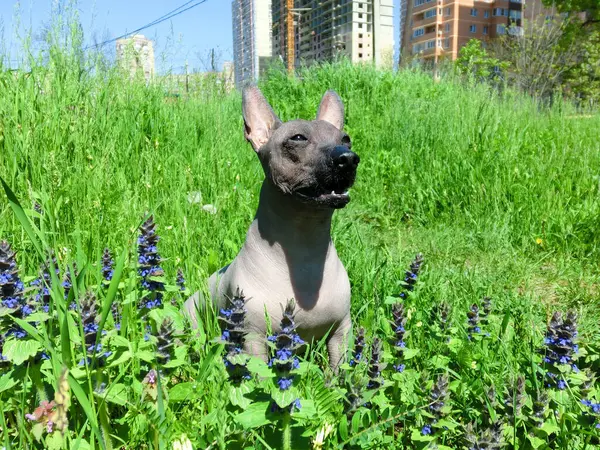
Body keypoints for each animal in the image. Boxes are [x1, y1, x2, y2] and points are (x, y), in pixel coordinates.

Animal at [185, 85, 358, 370]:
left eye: (346, 139)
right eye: (298, 138)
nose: (348, 158)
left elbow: (340, 370)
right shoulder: (253, 338)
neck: (304, 249)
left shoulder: (341, 332)